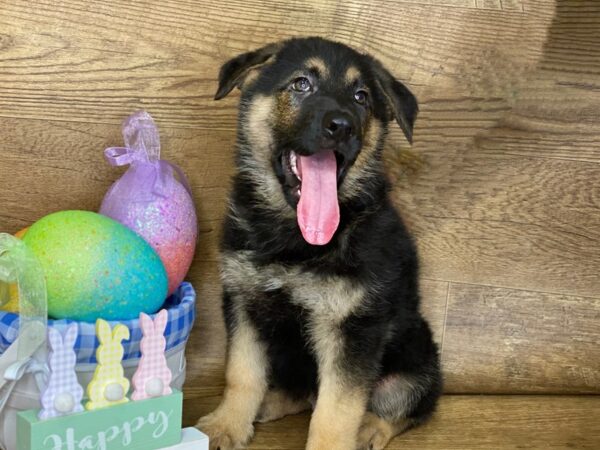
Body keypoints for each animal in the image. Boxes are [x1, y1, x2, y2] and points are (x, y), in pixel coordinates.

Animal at [197, 37, 440, 450]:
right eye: (301, 84)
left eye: (361, 97)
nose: (342, 126)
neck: (295, 238)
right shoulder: (244, 303)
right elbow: (242, 373)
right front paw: (226, 425)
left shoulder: (353, 327)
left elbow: (337, 410)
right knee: (304, 395)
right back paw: (271, 402)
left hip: (418, 356)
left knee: (406, 405)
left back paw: (371, 428)